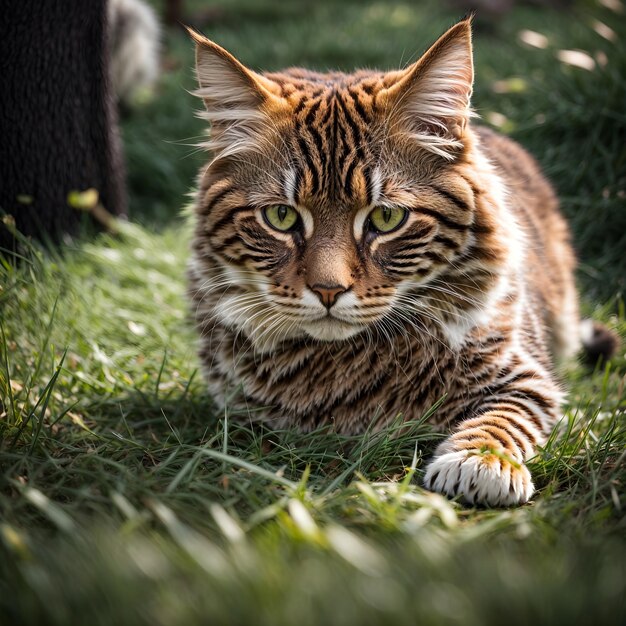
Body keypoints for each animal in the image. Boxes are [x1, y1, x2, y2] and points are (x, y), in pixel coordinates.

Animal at [185, 19, 616, 504]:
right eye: (281, 216)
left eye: (386, 217)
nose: (328, 291)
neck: (345, 366)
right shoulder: (238, 403)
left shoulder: (527, 374)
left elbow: (504, 418)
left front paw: (481, 460)